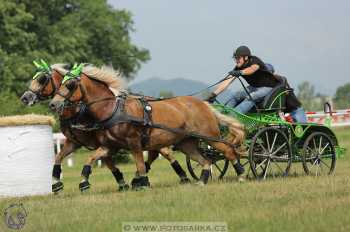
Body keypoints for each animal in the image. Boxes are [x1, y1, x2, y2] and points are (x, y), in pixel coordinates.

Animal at [20, 61, 190, 192]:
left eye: (42, 79)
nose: (25, 98)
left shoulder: (102, 143)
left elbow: (103, 161)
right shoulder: (75, 142)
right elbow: (59, 157)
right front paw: (56, 183)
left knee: (164, 153)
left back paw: (183, 177)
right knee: (154, 154)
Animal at [50, 64, 246, 188]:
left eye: (70, 84)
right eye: (60, 83)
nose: (53, 104)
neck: (113, 110)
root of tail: (204, 104)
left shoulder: (134, 142)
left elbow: (140, 164)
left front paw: (142, 183)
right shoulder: (108, 146)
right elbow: (91, 158)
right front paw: (83, 181)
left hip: (210, 137)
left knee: (228, 152)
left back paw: (241, 175)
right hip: (186, 143)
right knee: (205, 161)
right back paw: (201, 181)